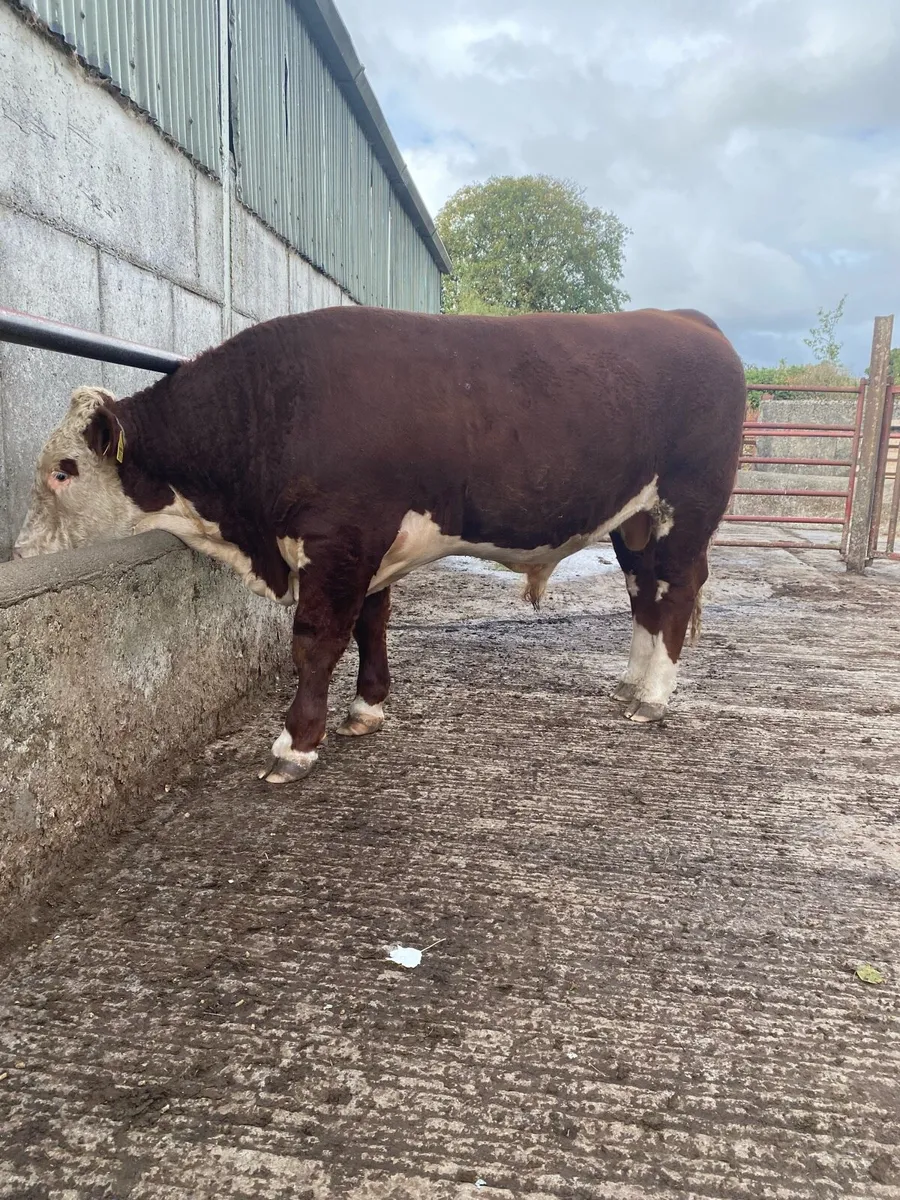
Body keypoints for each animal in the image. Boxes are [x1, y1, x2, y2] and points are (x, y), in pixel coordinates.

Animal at [13, 306, 746, 783]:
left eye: (63, 470)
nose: (20, 554)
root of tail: (689, 319)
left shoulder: (341, 536)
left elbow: (317, 640)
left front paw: (295, 745)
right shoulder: (367, 547)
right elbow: (371, 622)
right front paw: (366, 710)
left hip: (686, 507)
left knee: (675, 592)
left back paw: (654, 698)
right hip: (635, 521)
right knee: (645, 592)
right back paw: (631, 682)